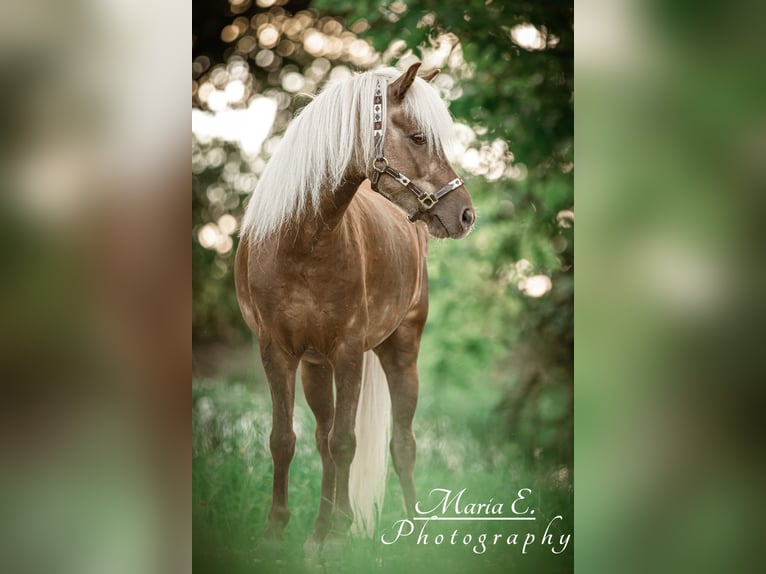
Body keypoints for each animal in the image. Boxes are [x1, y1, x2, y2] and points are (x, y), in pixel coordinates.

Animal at [236, 63, 474, 548]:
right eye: (418, 137)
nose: (465, 215)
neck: (301, 243)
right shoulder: (277, 353)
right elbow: (283, 439)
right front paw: (278, 528)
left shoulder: (349, 353)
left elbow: (347, 441)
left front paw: (340, 534)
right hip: (314, 366)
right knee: (322, 437)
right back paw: (318, 529)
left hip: (401, 353)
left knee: (402, 444)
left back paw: (411, 529)